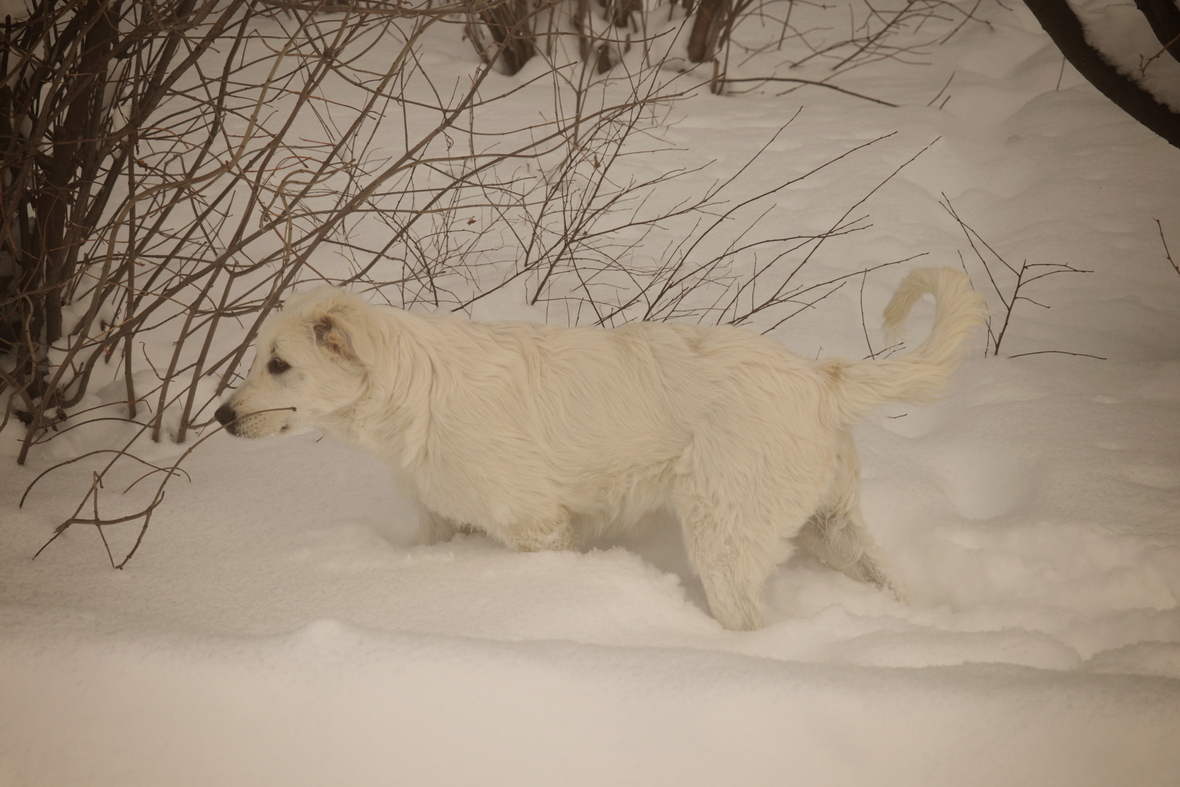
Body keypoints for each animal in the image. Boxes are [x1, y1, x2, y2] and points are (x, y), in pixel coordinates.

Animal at [214, 267, 986, 632]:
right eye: (260, 359)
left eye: (279, 365)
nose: (219, 416)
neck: (418, 389)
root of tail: (821, 378)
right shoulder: (443, 522)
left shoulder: (537, 528)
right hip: (832, 529)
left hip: (724, 535)